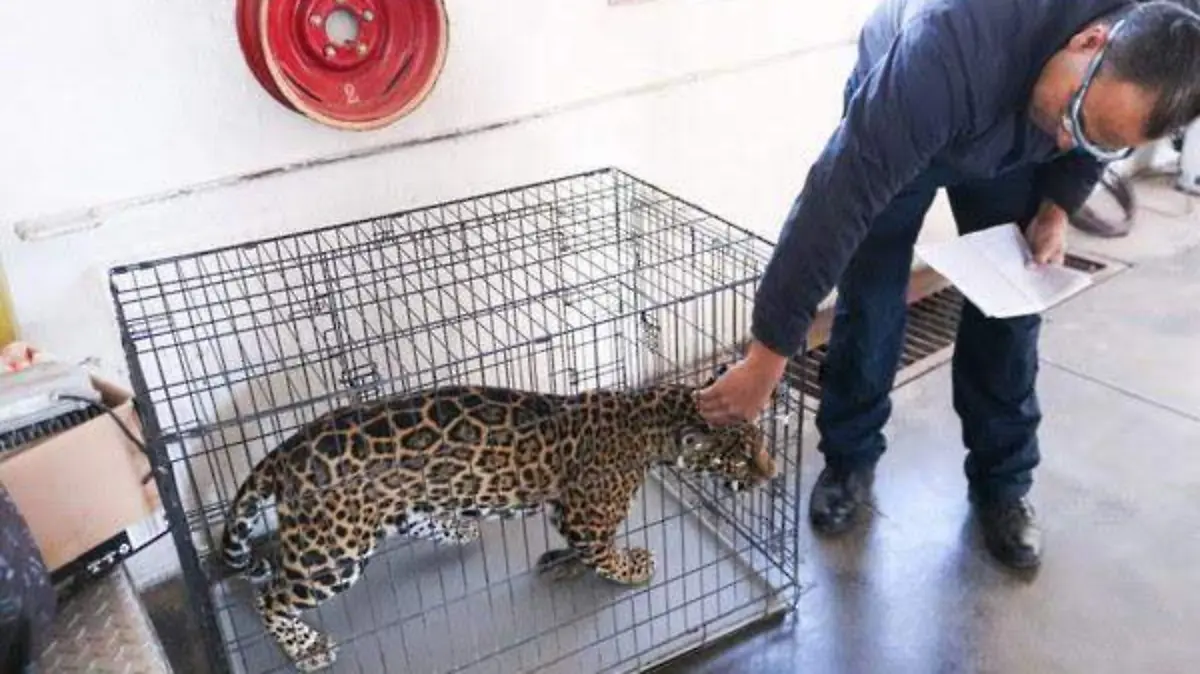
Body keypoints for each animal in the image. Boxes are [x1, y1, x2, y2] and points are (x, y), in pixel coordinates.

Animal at [219, 376, 776, 672]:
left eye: (761, 444)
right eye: (742, 456)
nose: (771, 474)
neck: (651, 422)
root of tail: (285, 450)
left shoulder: (567, 511)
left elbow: (575, 548)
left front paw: (560, 563)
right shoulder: (589, 515)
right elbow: (603, 553)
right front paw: (632, 567)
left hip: (391, 510)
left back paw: (458, 527)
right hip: (334, 552)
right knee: (270, 595)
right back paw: (305, 648)